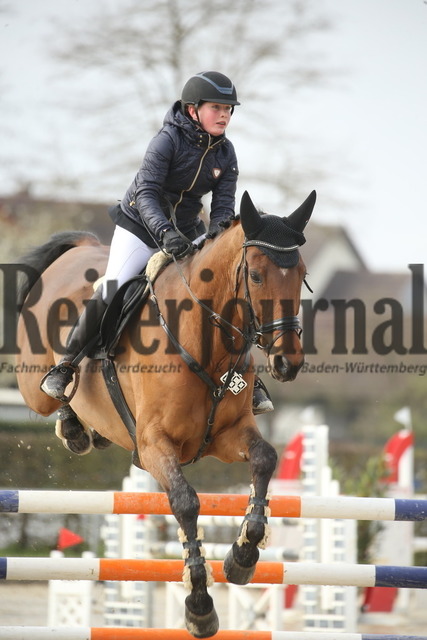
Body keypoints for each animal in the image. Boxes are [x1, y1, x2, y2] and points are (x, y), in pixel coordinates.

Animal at [15, 189, 316, 636]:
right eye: (258, 276)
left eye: (301, 273)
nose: (287, 363)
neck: (205, 342)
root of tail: (81, 247)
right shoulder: (155, 446)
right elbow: (186, 503)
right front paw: (199, 605)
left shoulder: (227, 434)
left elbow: (265, 458)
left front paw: (242, 556)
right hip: (33, 384)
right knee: (52, 395)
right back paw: (68, 415)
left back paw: (86, 431)